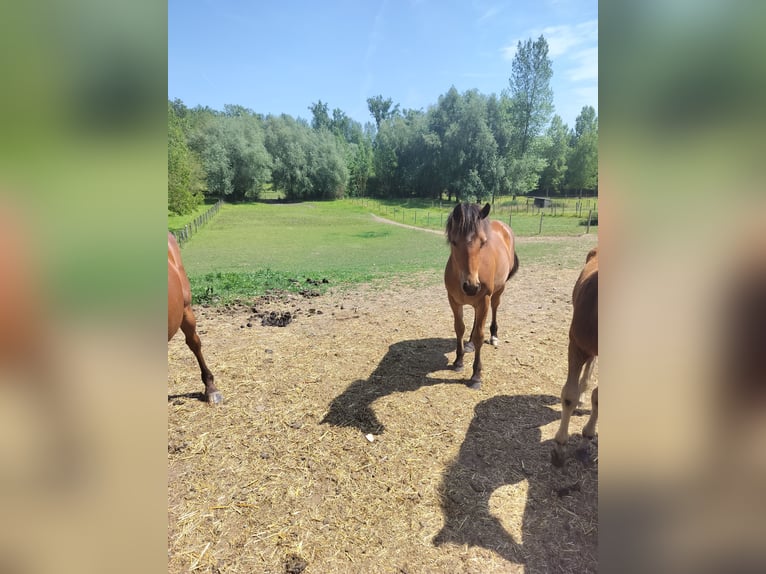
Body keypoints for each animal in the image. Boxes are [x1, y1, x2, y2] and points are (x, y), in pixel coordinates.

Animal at [444, 202, 519, 389]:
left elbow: (479, 335)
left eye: (483, 242)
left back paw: (494, 336)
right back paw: (469, 344)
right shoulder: (453, 301)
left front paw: (476, 375)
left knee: (494, 307)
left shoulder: (483, 299)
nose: (471, 287)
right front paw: (458, 361)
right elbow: (459, 328)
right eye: (454, 242)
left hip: (498, 291)